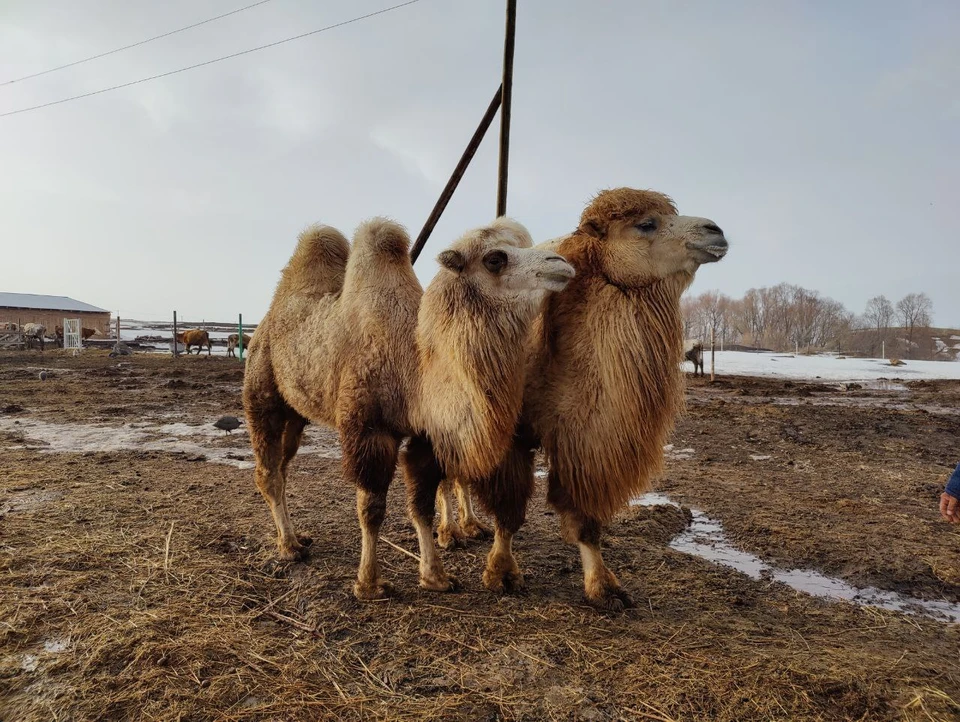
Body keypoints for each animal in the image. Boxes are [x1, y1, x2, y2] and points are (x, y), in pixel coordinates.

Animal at [244, 217, 572, 600]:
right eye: (495, 259)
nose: (562, 263)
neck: (413, 367)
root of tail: (262, 326)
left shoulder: (426, 436)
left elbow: (422, 506)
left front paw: (435, 576)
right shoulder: (369, 430)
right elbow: (371, 509)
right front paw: (369, 583)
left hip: (296, 414)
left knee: (283, 465)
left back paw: (297, 536)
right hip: (262, 394)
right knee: (268, 472)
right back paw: (289, 546)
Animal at [442, 187, 728, 608]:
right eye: (646, 223)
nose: (715, 231)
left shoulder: (585, 440)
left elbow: (585, 520)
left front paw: (604, 587)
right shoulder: (510, 432)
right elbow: (509, 512)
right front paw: (501, 573)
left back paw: (469, 525)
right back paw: (450, 532)